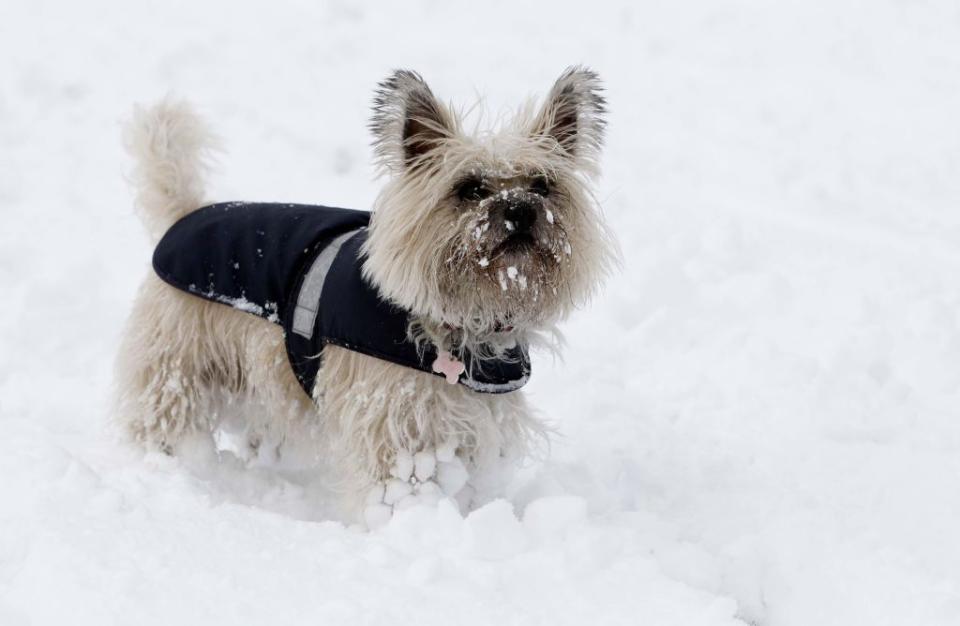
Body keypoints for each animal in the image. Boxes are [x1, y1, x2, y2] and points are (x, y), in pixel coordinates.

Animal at [114, 68, 616, 524]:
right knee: (157, 422)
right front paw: (413, 527)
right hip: (176, 372)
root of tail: (185, 214)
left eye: (543, 184)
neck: (460, 321)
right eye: (470, 188)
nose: (521, 210)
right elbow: (396, 491)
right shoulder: (396, 425)